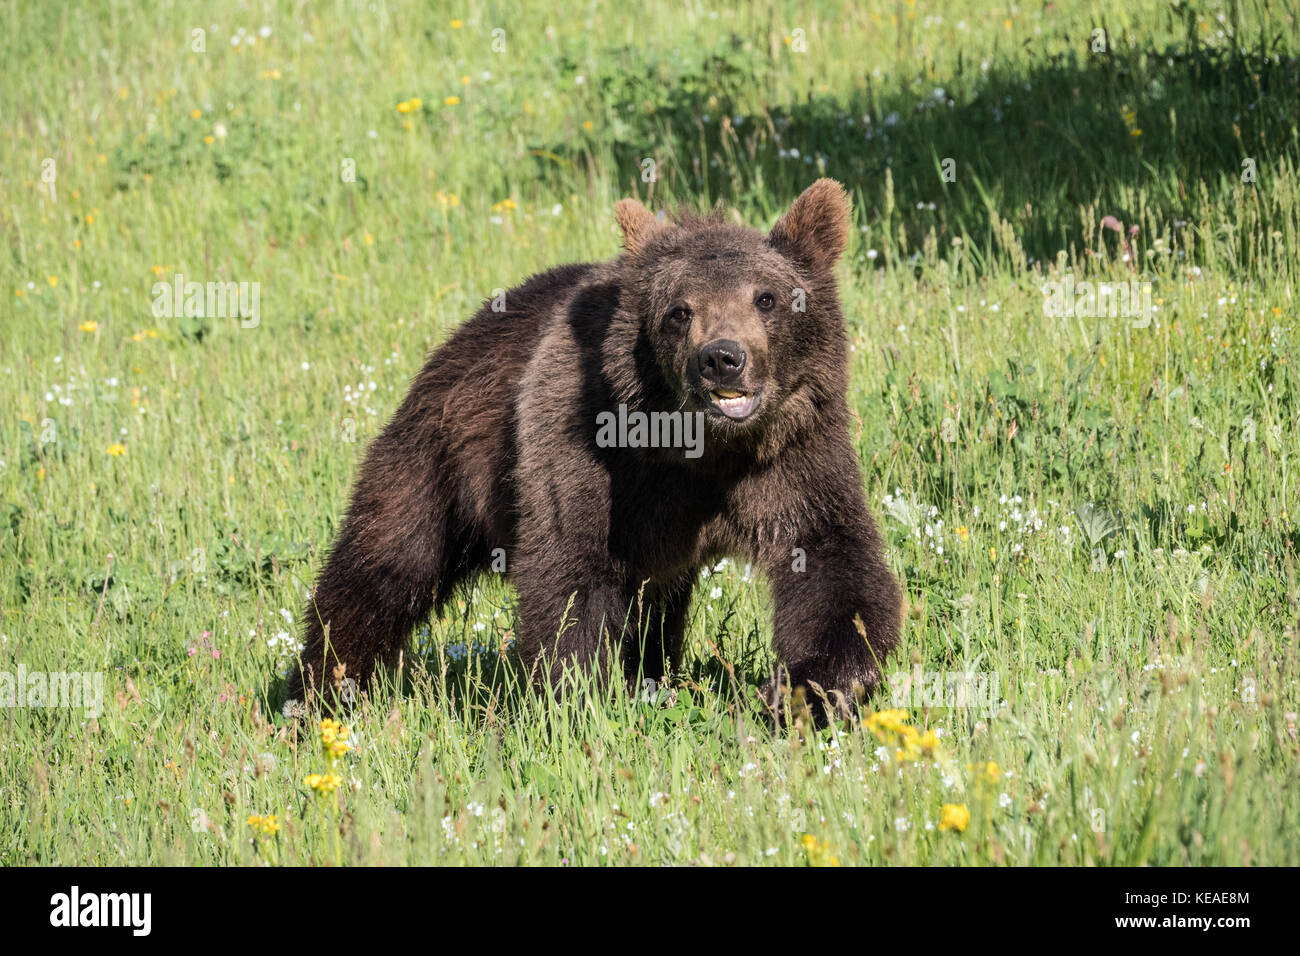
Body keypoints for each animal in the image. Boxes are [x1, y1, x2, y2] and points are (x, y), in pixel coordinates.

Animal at [286, 178, 899, 717]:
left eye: (766, 298)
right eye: (679, 310)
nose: (722, 357)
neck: (700, 450)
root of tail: (456, 337)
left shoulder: (792, 455)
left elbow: (831, 561)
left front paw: (809, 690)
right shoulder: (586, 447)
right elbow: (570, 567)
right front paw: (581, 698)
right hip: (440, 455)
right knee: (385, 563)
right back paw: (318, 691)